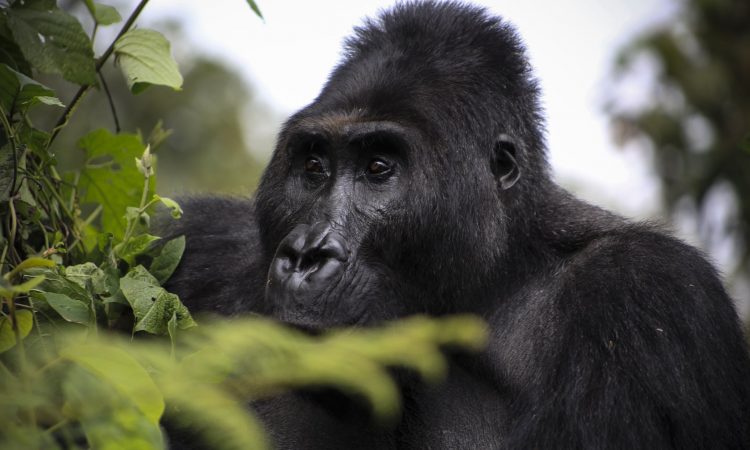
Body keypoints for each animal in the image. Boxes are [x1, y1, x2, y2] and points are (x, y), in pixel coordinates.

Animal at [163, 1, 750, 448]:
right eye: (314, 167)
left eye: (379, 169)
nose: (306, 255)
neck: (498, 272)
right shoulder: (206, 243)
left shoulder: (648, 294)